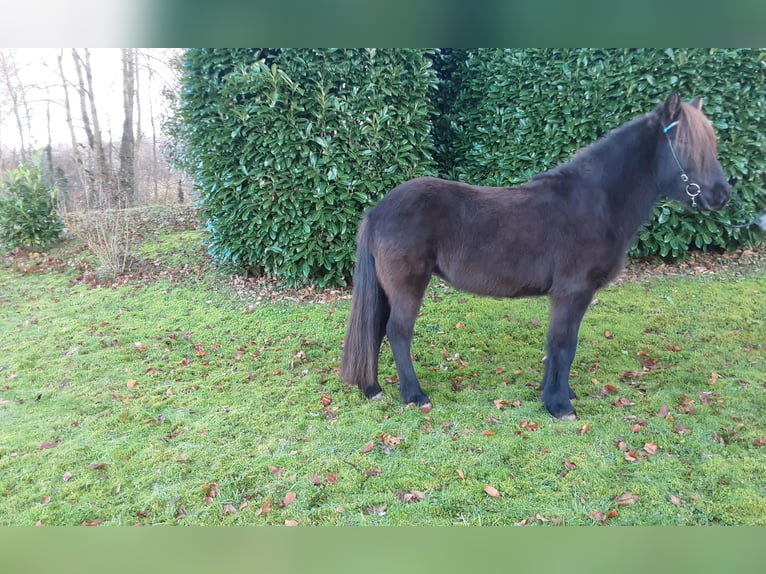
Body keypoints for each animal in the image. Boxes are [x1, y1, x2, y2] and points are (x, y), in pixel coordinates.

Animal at [342, 93, 732, 418]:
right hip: (408, 286)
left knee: (375, 328)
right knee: (397, 332)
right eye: (686, 146)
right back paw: (414, 395)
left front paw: (562, 393)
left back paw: (372, 389)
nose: (722, 195)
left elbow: (563, 345)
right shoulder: (572, 292)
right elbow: (563, 344)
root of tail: (377, 210)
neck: (595, 203)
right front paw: (558, 405)